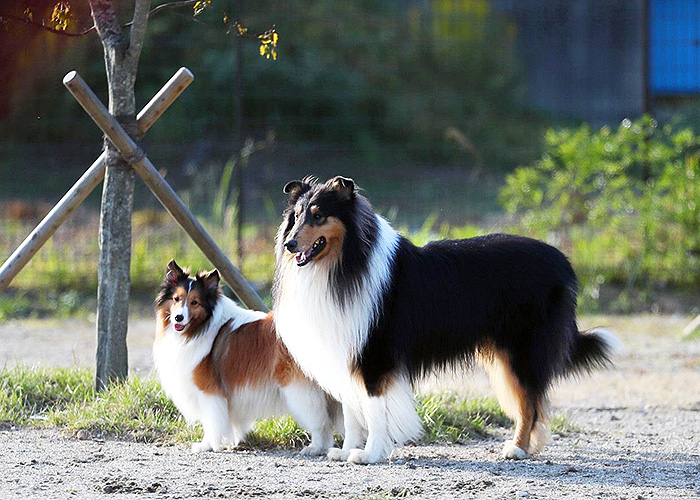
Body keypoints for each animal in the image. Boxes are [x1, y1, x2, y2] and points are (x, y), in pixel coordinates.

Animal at [153, 259, 339, 454]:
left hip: (299, 391)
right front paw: (234, 441)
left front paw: (206, 445)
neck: (202, 327)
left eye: (194, 302)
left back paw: (314, 448)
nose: (178, 318)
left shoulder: (209, 393)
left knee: (320, 423)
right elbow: (233, 421)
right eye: (176, 299)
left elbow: (212, 423)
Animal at [272, 175, 622, 464]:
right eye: (297, 215)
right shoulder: (346, 350)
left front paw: (369, 454)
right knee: (534, 403)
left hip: (520, 352)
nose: (290, 244)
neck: (345, 262)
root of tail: (563, 261)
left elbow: (372, 409)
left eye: (319, 215)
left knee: (529, 403)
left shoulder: (375, 356)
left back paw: (517, 448)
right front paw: (346, 451)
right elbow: (352, 410)